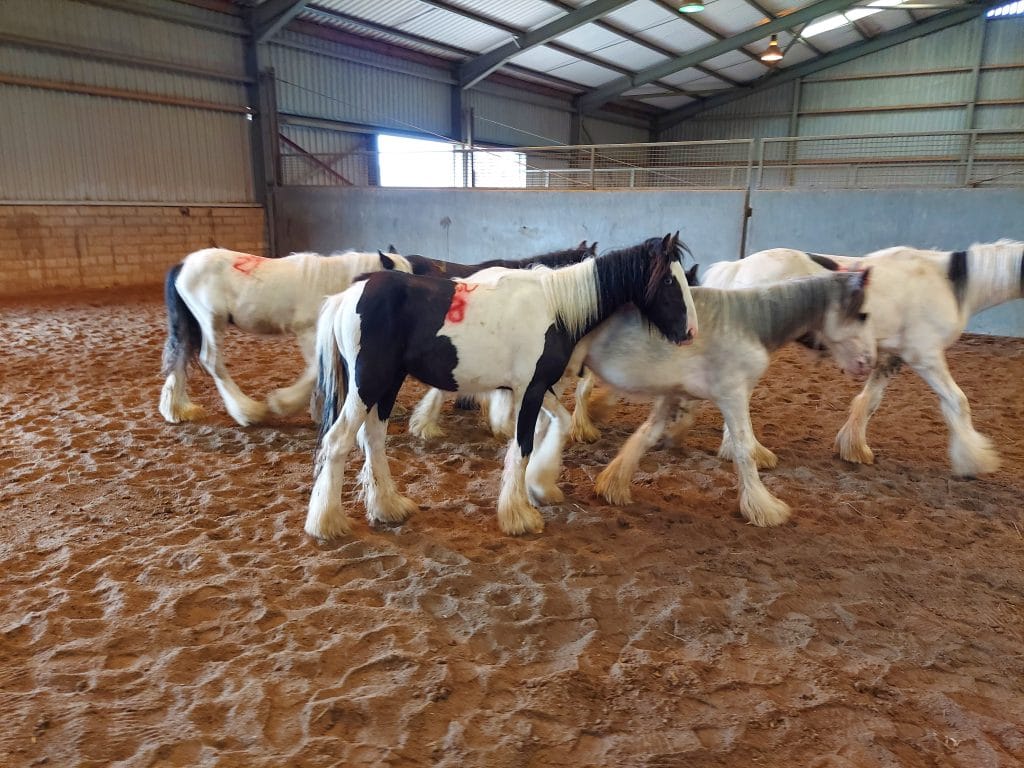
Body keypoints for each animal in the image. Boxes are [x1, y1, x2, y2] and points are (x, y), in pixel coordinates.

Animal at [159, 247, 413, 427]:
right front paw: (284, 404)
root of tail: (182, 265)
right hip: (212, 321)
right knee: (211, 360)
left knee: (181, 357)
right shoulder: (308, 332)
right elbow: (315, 371)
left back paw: (177, 410)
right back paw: (247, 412)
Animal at [306, 233, 698, 539]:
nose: (691, 332)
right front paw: (518, 515)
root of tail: (347, 296)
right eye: (669, 282)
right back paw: (327, 522)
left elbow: (559, 423)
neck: (555, 306)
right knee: (339, 440)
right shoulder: (530, 390)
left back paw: (388, 507)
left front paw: (542, 485)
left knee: (372, 438)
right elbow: (522, 446)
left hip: (389, 383)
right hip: (368, 384)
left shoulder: (537, 387)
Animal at [568, 270, 874, 527]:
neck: (750, 322)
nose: (867, 363)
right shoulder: (734, 396)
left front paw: (613, 486)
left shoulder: (672, 394)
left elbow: (646, 435)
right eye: (861, 315)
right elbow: (744, 449)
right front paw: (764, 509)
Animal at [703, 241, 1024, 476]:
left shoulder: (890, 358)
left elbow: (869, 402)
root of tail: (736, 267)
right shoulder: (926, 356)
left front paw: (854, 448)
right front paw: (975, 460)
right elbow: (958, 402)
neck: (947, 282)